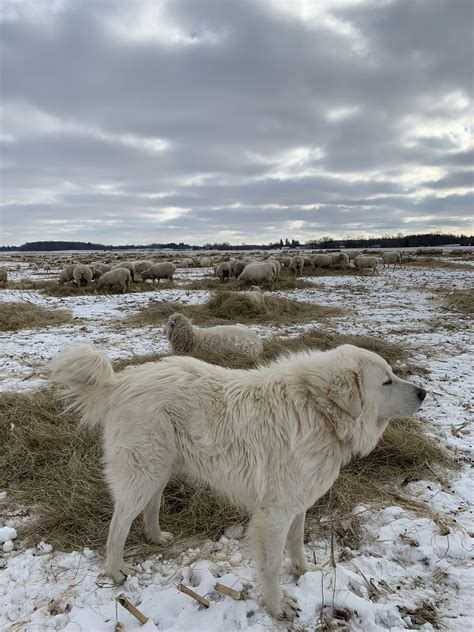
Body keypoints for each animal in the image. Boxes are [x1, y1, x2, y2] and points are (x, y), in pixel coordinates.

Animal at [48, 344, 426, 620]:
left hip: (160, 468)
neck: (318, 411)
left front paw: (304, 572)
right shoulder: (274, 514)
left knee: (151, 506)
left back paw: (157, 538)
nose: (423, 392)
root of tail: (120, 382)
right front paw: (277, 606)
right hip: (142, 470)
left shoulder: (297, 503)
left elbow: (297, 544)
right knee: (118, 524)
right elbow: (271, 566)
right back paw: (115, 571)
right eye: (387, 381)